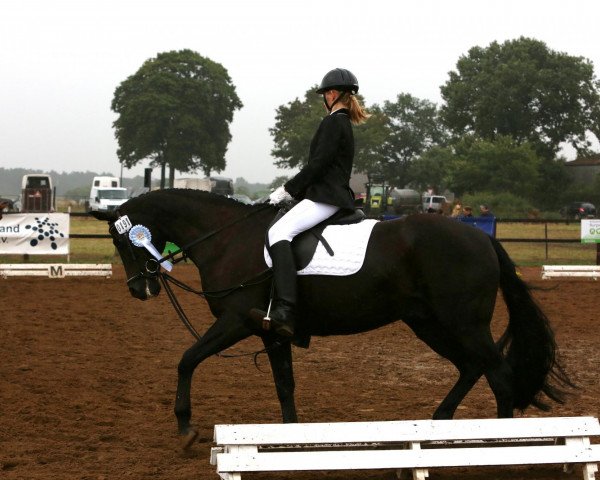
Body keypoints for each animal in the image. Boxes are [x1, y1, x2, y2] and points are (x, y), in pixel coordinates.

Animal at [94, 188, 572, 446]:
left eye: (122, 240)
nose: (139, 289)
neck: (228, 238)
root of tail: (480, 237)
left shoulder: (237, 320)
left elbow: (187, 359)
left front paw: (186, 427)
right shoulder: (271, 331)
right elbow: (284, 384)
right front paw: (289, 438)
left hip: (462, 323)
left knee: (499, 375)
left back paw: (500, 445)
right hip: (429, 323)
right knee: (473, 367)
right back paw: (439, 425)